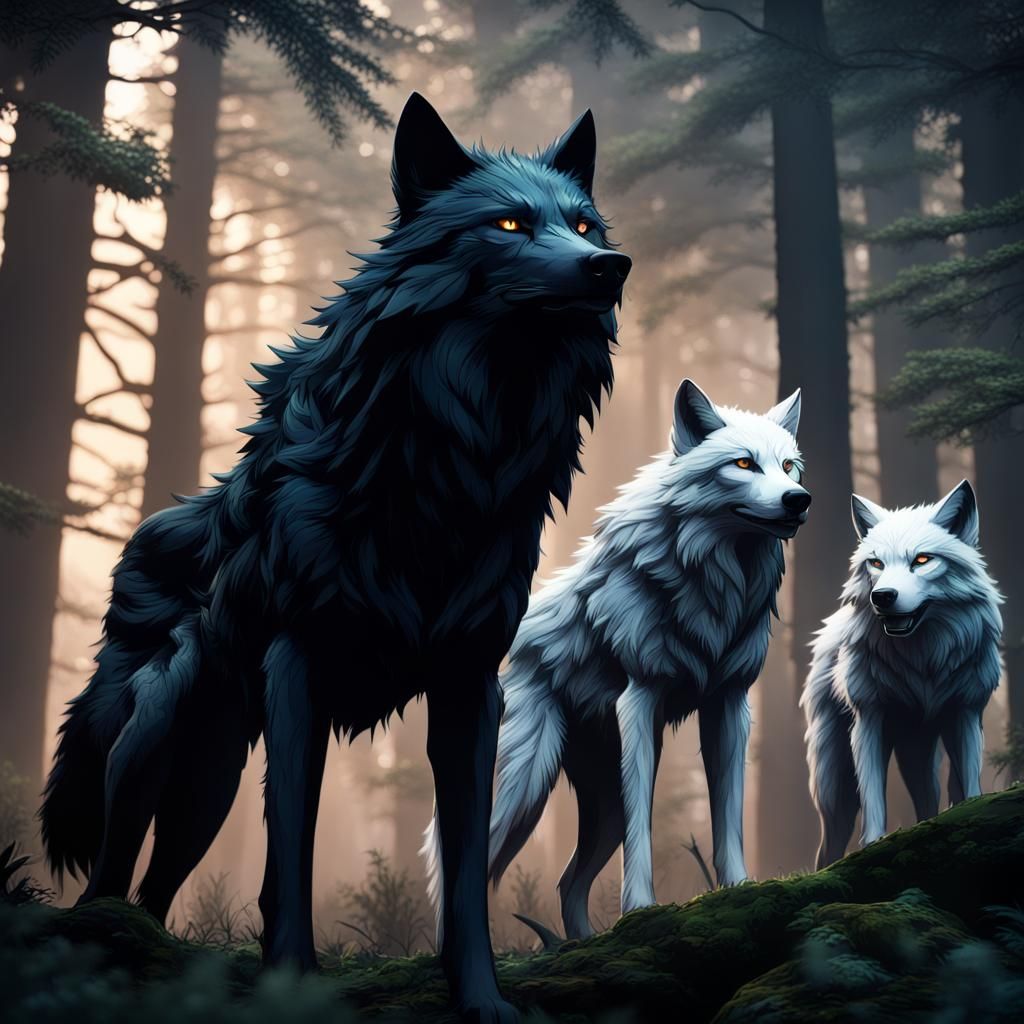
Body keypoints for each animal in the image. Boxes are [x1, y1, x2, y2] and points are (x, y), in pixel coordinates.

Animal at [40, 92, 629, 1022]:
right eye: (507, 222)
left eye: (581, 223)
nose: (612, 265)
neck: (454, 460)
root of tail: (150, 530)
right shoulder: (300, 668)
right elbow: (291, 853)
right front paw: (293, 985)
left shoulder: (470, 684)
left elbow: (466, 867)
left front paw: (482, 1000)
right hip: (154, 745)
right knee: (110, 865)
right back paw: (103, 957)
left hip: (208, 784)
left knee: (156, 888)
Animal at [474, 379, 810, 939]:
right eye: (743, 464)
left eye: (788, 467)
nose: (798, 500)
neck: (718, 583)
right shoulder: (639, 701)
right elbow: (644, 826)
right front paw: (641, 909)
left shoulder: (730, 705)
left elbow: (729, 813)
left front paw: (740, 889)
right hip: (523, 788)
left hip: (596, 808)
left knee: (567, 883)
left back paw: (580, 946)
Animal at [802, 481, 1003, 869]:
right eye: (876, 563)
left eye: (922, 560)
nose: (882, 596)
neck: (923, 660)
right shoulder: (869, 720)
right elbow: (873, 797)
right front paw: (873, 845)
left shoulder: (966, 713)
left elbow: (970, 784)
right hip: (835, 782)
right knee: (829, 842)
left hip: (920, 755)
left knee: (930, 801)